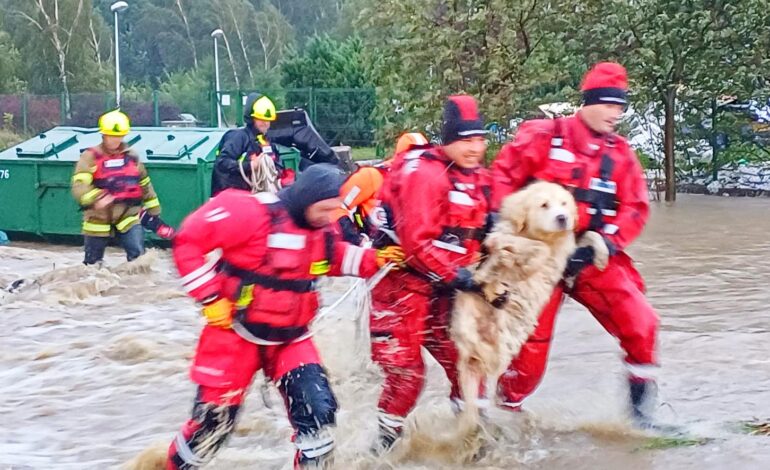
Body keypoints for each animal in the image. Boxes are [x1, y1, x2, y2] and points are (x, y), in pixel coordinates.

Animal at [450, 181, 608, 434]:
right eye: (544, 205)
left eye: (564, 203)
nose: (562, 218)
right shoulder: (505, 236)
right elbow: (531, 247)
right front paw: (517, 261)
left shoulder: (566, 246)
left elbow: (590, 235)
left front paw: (601, 256)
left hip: (494, 352)